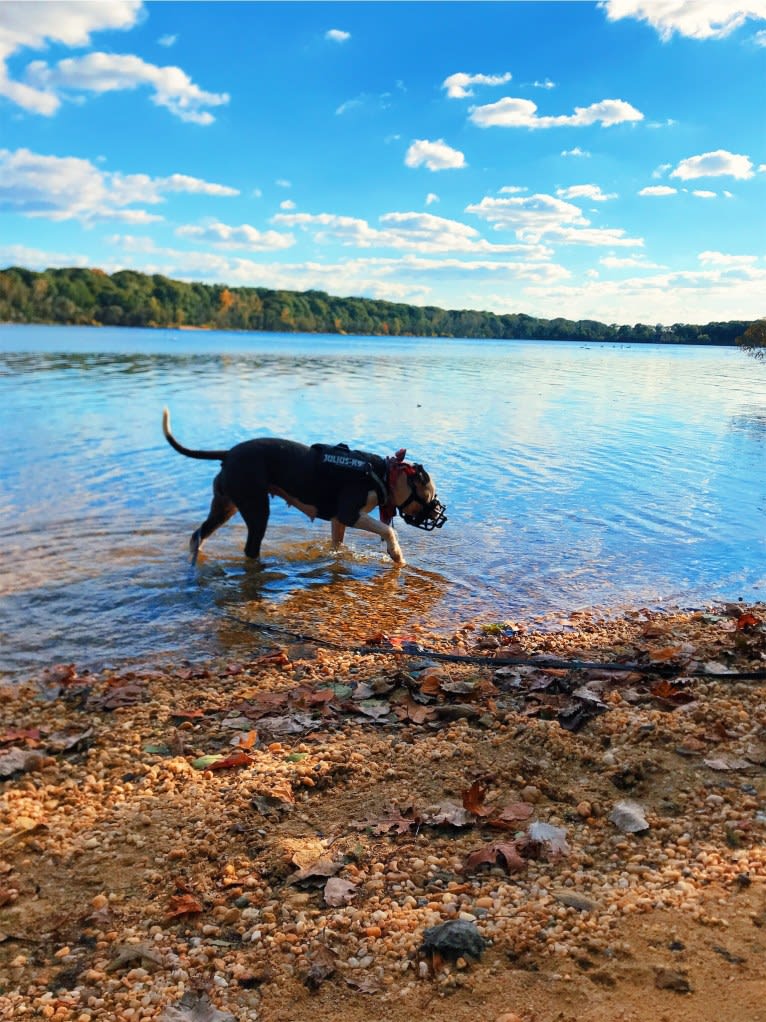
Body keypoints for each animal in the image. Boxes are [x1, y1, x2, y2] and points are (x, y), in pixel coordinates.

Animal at [165, 408, 447, 568]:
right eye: (431, 496)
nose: (439, 515)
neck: (383, 474)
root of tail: (229, 453)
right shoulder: (349, 514)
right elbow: (388, 531)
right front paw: (396, 553)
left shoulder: (338, 520)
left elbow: (337, 544)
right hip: (256, 510)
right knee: (250, 548)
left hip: (226, 506)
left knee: (198, 535)